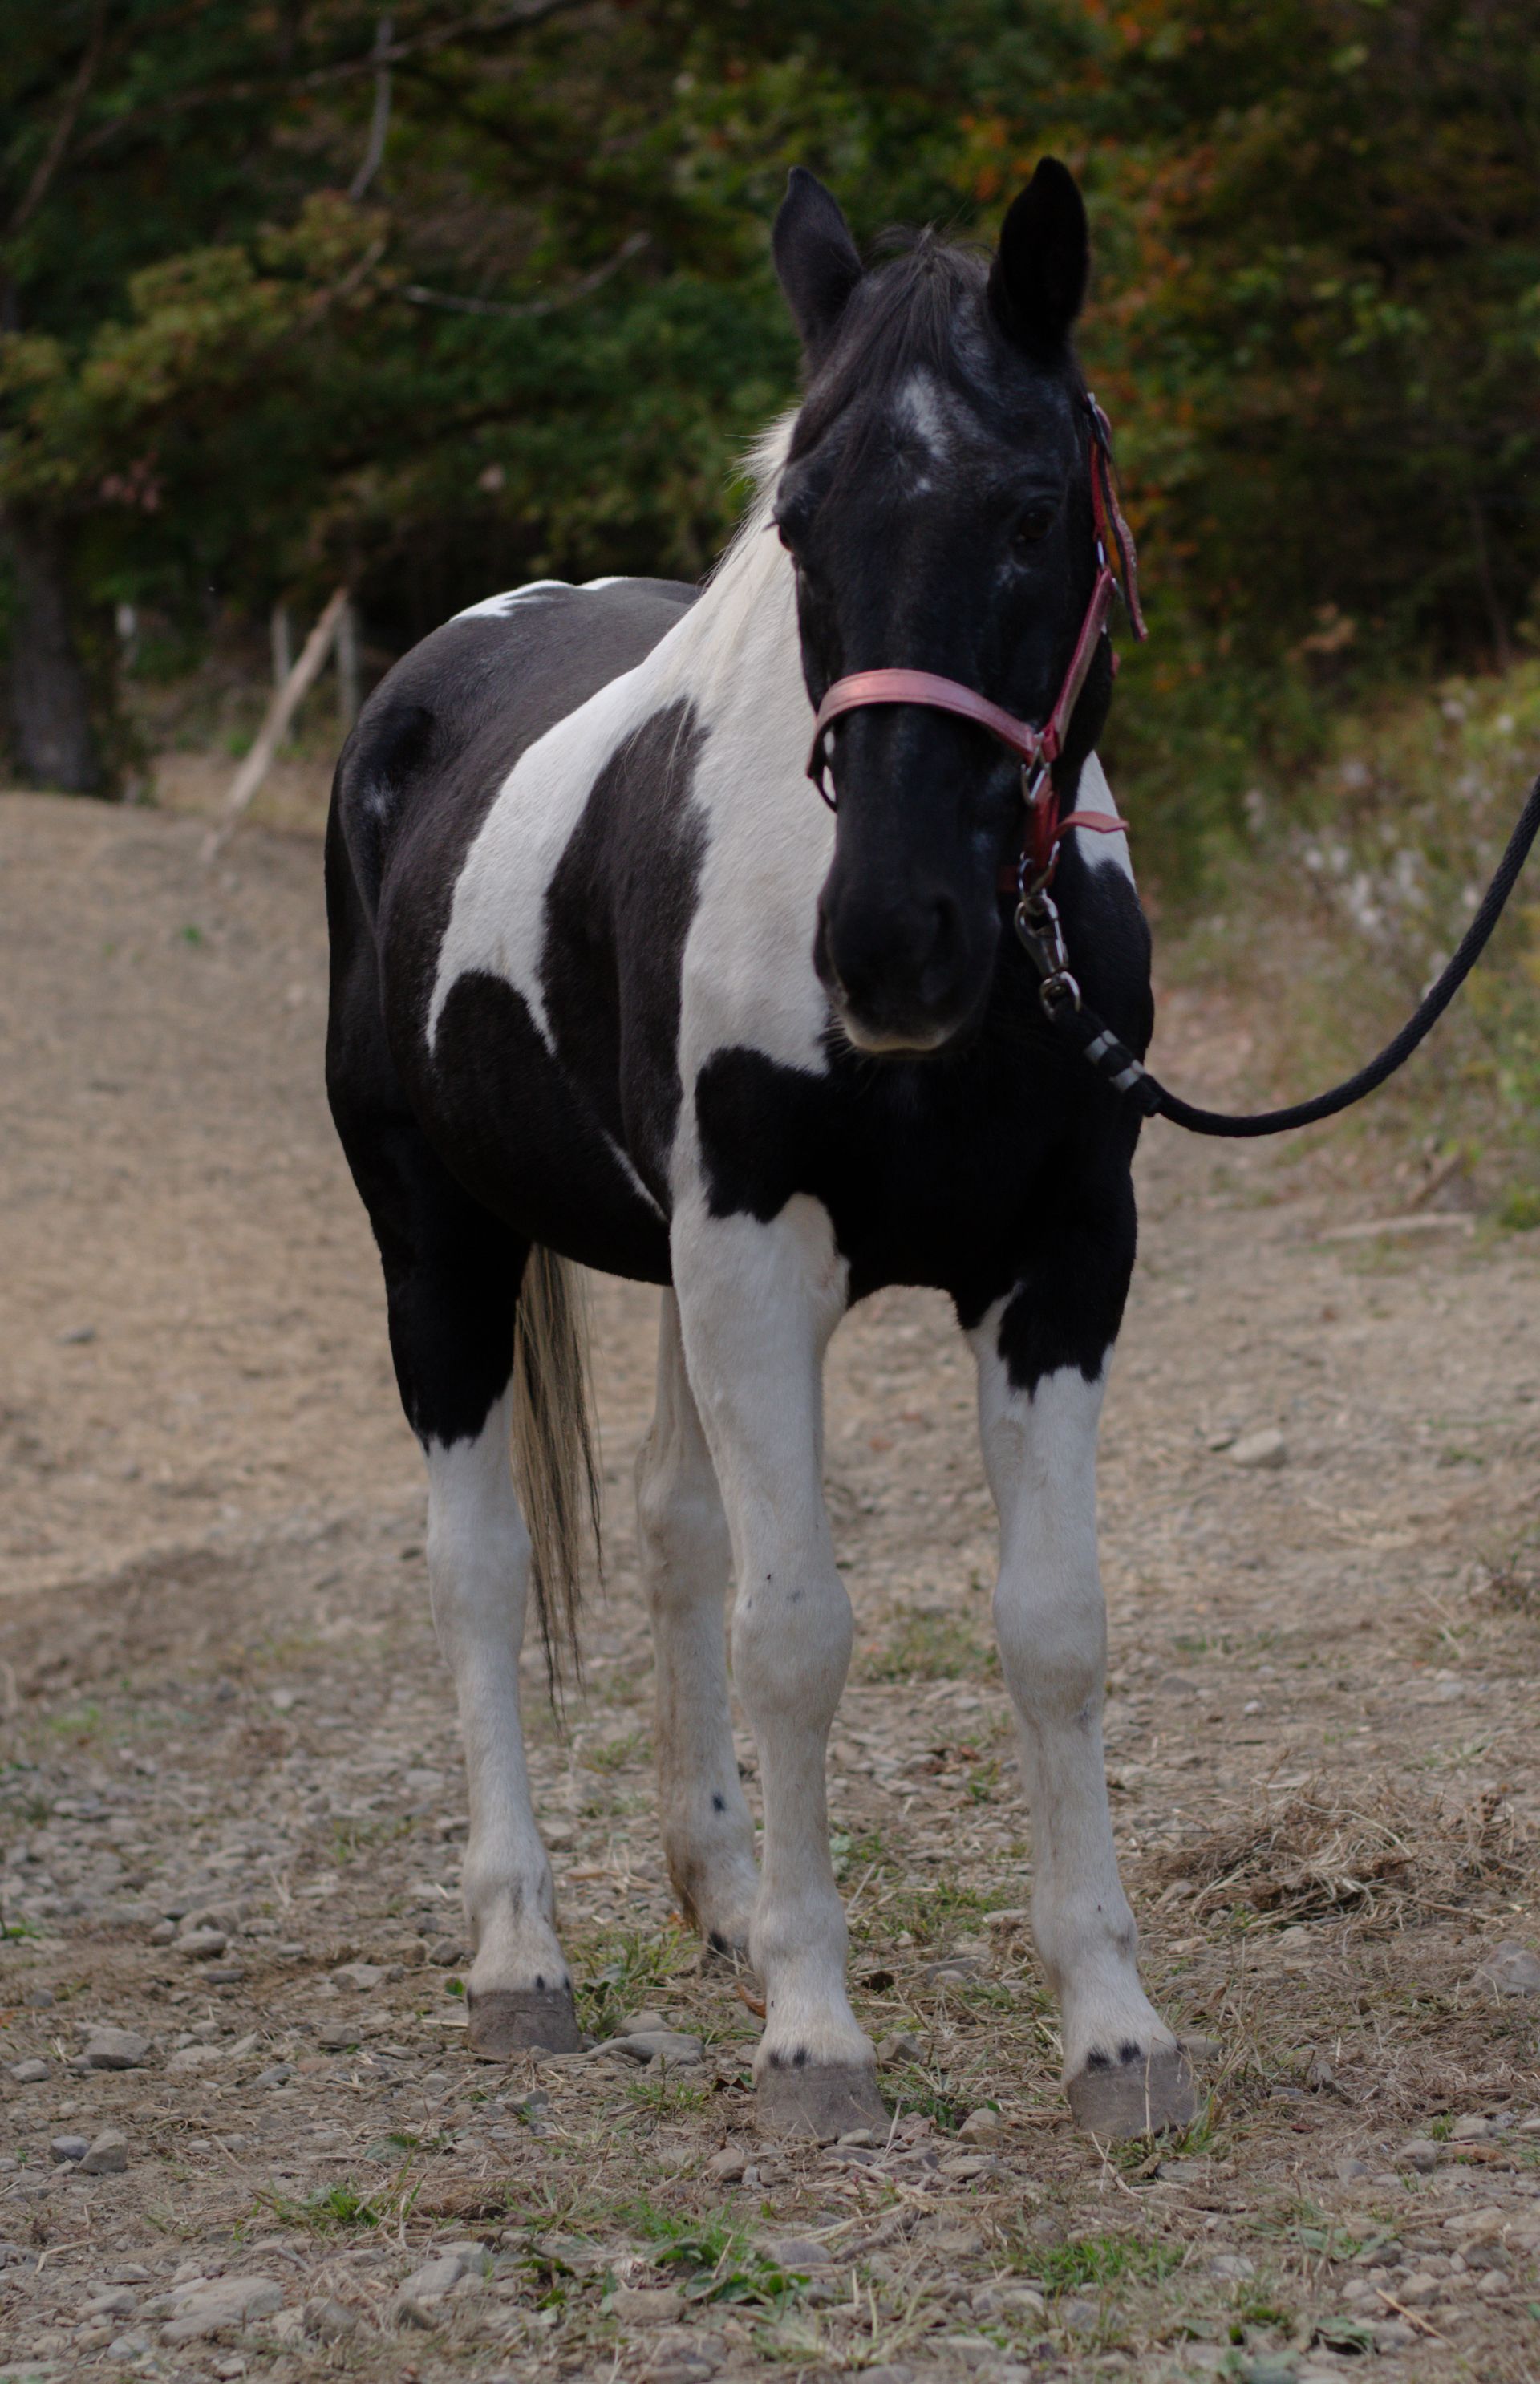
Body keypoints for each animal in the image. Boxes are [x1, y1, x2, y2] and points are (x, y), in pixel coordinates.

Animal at [324, 157, 1195, 2143]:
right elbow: (801, 1628)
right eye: (797, 521)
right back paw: (522, 1959)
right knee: (478, 1570)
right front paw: (816, 2035)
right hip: (437, 1241)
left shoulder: (1062, 1263)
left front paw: (1112, 2027)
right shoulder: (753, 1251)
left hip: (661, 1272)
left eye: (1035, 509)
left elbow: (1054, 1625)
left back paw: (716, 1897)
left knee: (671, 1529)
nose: (893, 944)